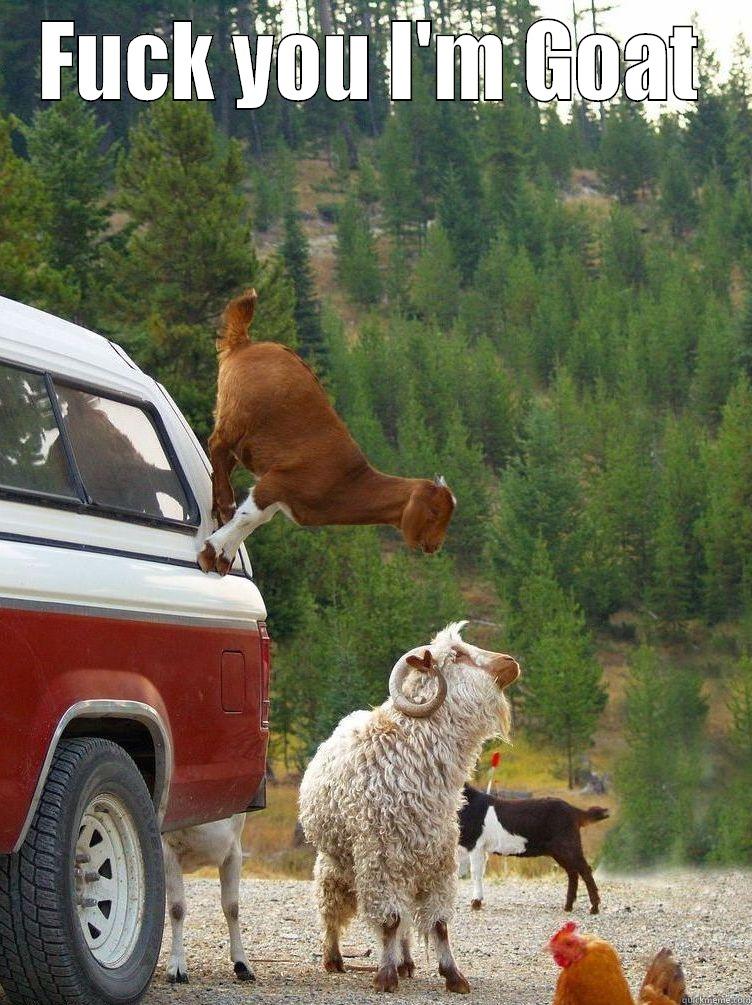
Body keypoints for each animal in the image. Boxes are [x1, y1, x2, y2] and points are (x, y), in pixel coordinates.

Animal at [162, 815, 254, 984]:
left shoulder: (234, 854)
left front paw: (242, 965)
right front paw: (177, 968)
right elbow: (177, 909)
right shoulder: (168, 854)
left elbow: (232, 908)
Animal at [197, 290, 456, 575]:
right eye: (434, 513)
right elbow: (249, 517)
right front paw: (211, 554)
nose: (435, 546)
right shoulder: (278, 481)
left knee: (223, 457)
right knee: (216, 443)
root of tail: (245, 343)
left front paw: (224, 557)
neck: (347, 480)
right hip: (238, 414)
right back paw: (225, 503)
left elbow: (257, 520)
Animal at [298, 622, 520, 995]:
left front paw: (453, 975)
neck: (412, 751)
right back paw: (334, 958)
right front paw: (385, 976)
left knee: (402, 921)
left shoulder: (438, 861)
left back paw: (405, 962)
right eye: (457, 654)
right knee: (332, 907)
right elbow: (389, 921)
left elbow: (438, 924)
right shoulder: (380, 860)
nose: (511, 661)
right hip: (338, 862)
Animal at [457, 784, 609, 914]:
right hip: (559, 851)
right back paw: (568, 907)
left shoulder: (475, 845)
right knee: (572, 872)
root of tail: (574, 810)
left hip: (568, 845)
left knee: (585, 870)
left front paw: (475, 903)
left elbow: (475, 873)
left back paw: (594, 908)